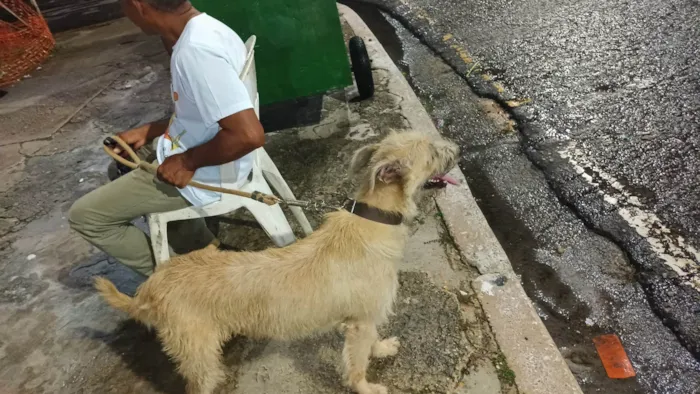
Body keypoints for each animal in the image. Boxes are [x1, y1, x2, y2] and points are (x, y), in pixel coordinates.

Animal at [95, 131, 462, 392]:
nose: (457, 149)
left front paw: (382, 348)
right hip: (198, 357)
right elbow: (357, 365)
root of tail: (149, 289)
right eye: (431, 153)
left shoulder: (362, 320)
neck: (374, 218)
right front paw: (367, 387)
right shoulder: (361, 320)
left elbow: (371, 342)